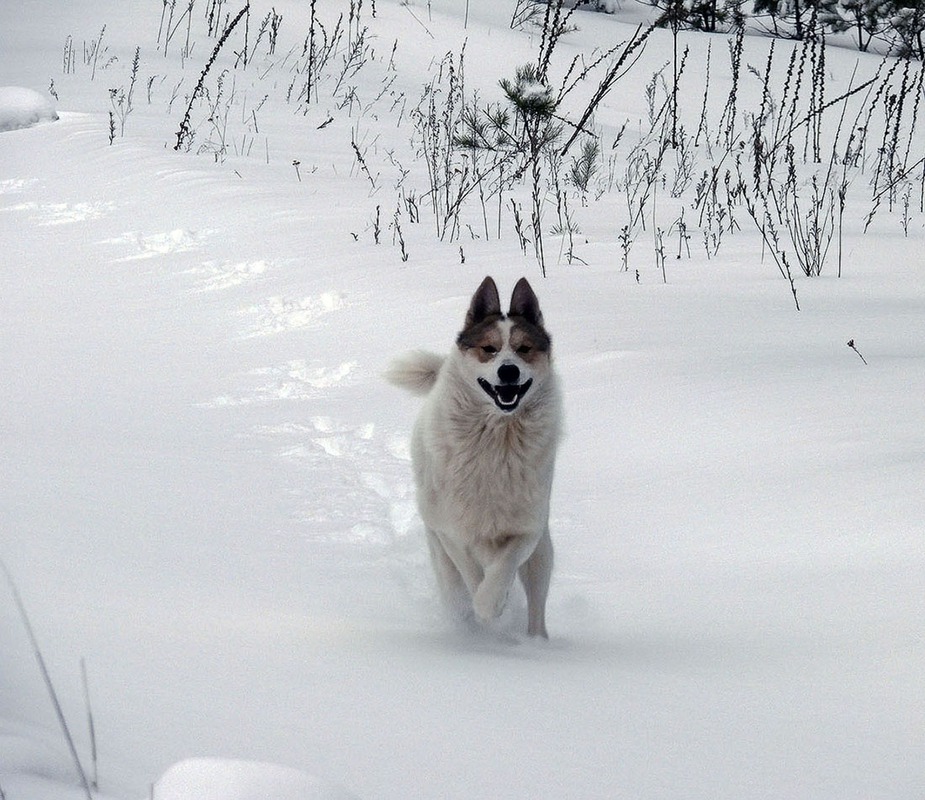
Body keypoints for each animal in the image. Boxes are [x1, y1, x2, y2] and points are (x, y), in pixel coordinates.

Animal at [384, 276, 560, 636]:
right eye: (489, 349)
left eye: (524, 349)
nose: (508, 372)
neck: (496, 440)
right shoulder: (449, 529)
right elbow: (470, 570)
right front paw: (483, 607)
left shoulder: (527, 528)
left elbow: (505, 565)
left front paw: (492, 603)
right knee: (454, 586)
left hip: (542, 555)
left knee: (536, 600)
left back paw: (536, 641)